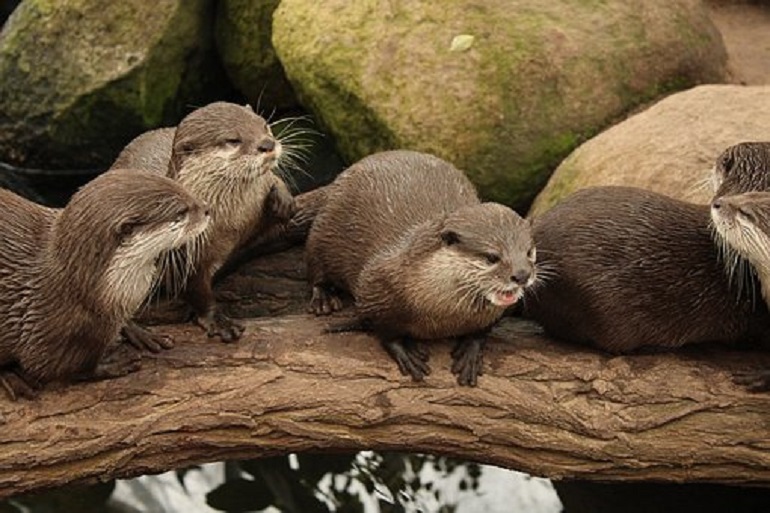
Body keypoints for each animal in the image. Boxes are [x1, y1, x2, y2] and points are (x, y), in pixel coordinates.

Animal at [0, 169, 208, 400]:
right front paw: (114, 364)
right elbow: (59, 367)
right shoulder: (46, 332)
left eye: (184, 189)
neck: (83, 287)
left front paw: (140, 332)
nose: (207, 209)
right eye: (181, 212)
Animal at [111, 101, 294, 340]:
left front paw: (283, 199)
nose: (268, 144)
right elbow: (197, 291)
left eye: (264, 125)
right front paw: (218, 321)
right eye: (233, 140)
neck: (233, 221)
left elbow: (274, 180)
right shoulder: (185, 254)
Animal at [304, 150, 536, 386]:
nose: (522, 275)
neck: (444, 315)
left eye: (529, 251)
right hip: (323, 231)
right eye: (491, 257)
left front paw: (471, 351)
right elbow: (382, 328)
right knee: (316, 266)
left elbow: (482, 331)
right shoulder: (376, 286)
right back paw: (323, 299)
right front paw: (405, 351)